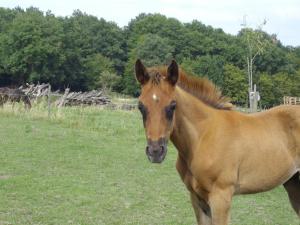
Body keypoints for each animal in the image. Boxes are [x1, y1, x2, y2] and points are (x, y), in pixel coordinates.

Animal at [135, 59, 300, 224]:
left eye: (173, 105)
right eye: (140, 106)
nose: (155, 151)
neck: (203, 136)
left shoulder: (221, 197)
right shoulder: (197, 198)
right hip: (293, 183)